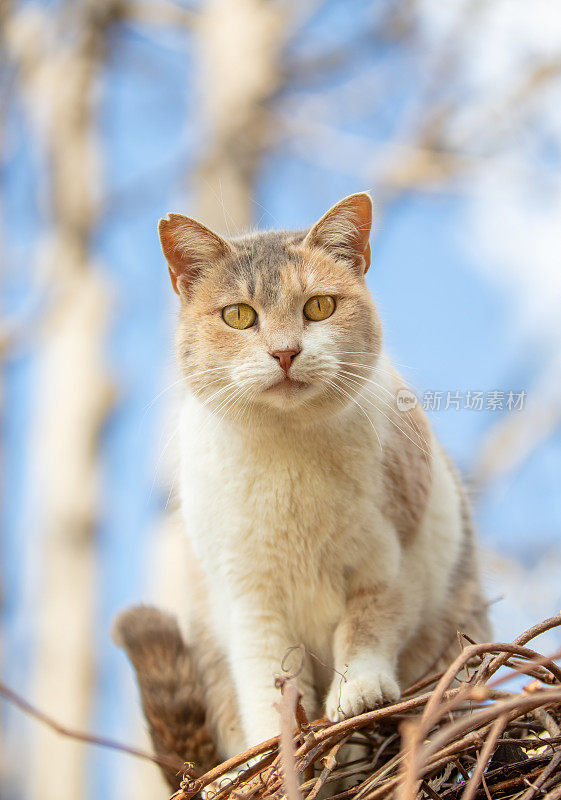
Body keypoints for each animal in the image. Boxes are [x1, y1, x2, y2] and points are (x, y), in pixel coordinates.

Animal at [115, 194, 490, 788]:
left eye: (319, 307)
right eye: (238, 315)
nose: (285, 352)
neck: (288, 457)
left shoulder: (395, 563)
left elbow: (367, 629)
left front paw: (357, 693)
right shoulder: (250, 600)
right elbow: (269, 680)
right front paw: (276, 756)